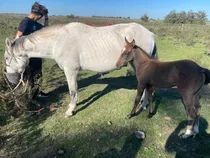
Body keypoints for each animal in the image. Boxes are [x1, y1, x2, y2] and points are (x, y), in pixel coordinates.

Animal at [4, 22, 157, 118]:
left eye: (6, 58)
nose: (10, 81)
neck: (59, 41)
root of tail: (150, 33)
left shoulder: (70, 71)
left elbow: (72, 91)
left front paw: (70, 111)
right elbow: (75, 90)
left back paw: (143, 106)